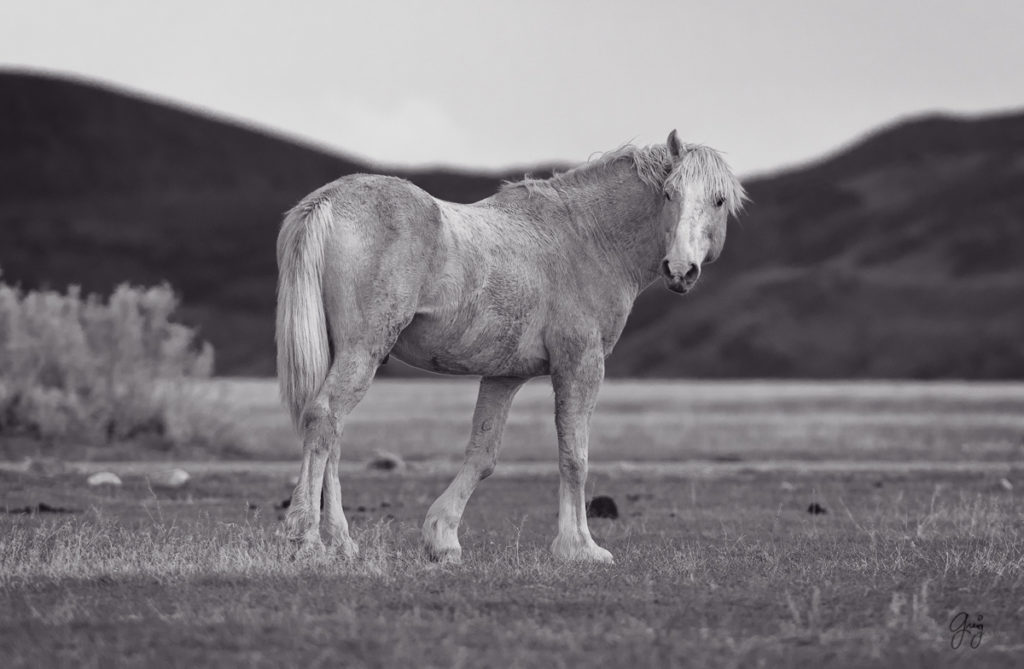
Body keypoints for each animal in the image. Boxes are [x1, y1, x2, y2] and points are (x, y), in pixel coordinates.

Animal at [276, 128, 749, 561]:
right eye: (669, 194)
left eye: (717, 201)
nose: (680, 270)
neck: (587, 240)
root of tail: (329, 200)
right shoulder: (581, 364)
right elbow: (574, 456)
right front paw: (580, 547)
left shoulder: (503, 377)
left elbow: (482, 455)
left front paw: (442, 538)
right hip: (362, 352)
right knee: (324, 419)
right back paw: (306, 537)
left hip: (344, 354)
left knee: (333, 434)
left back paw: (341, 541)